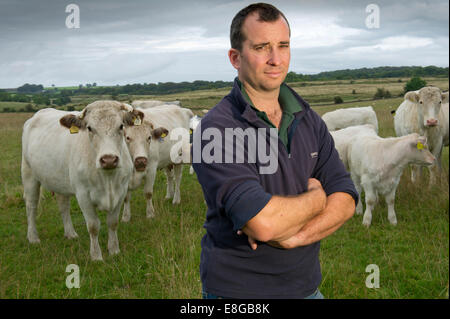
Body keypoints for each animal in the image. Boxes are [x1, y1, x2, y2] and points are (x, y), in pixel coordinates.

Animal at [19, 101, 141, 262]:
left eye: (121, 126)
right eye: (89, 128)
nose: (109, 159)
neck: (108, 179)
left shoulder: (120, 192)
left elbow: (113, 223)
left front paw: (114, 250)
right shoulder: (83, 195)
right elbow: (93, 226)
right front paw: (96, 256)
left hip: (60, 179)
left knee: (63, 206)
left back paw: (70, 233)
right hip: (29, 174)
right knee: (31, 206)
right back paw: (33, 237)